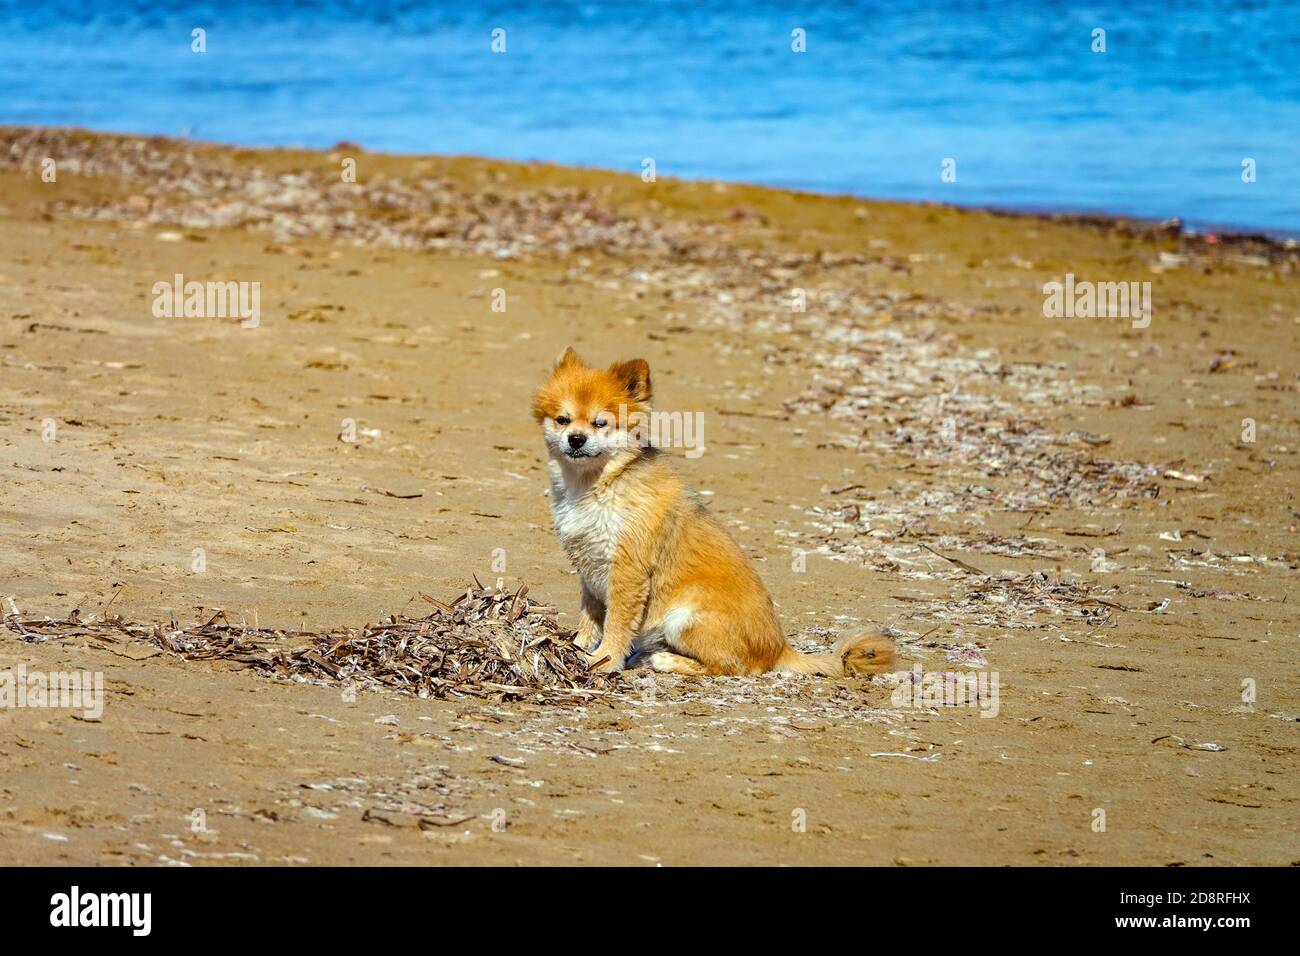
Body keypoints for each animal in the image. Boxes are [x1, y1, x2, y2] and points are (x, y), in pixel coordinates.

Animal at [527, 348, 894, 676]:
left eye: (600, 423)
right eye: (562, 420)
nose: (576, 439)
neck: (599, 484)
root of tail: (779, 648)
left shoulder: (627, 572)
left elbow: (616, 625)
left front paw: (602, 661)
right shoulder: (590, 570)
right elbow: (590, 618)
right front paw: (574, 647)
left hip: (684, 618)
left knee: (732, 668)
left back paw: (664, 661)